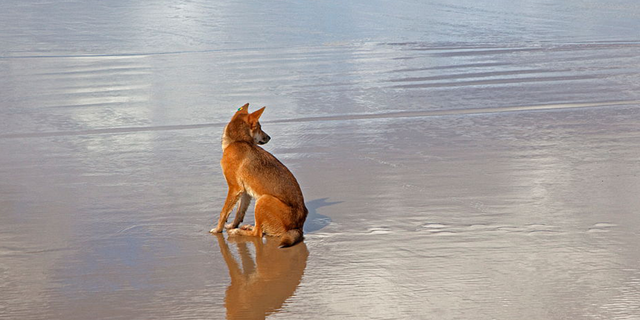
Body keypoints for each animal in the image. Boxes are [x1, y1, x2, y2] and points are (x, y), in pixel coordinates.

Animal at [211, 104, 308, 246]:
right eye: (260, 127)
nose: (269, 137)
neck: (238, 141)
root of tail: (299, 228)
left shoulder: (234, 188)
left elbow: (223, 212)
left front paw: (218, 229)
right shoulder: (245, 191)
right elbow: (239, 213)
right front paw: (232, 225)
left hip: (263, 200)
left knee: (257, 234)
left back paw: (238, 232)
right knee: (259, 229)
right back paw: (247, 227)